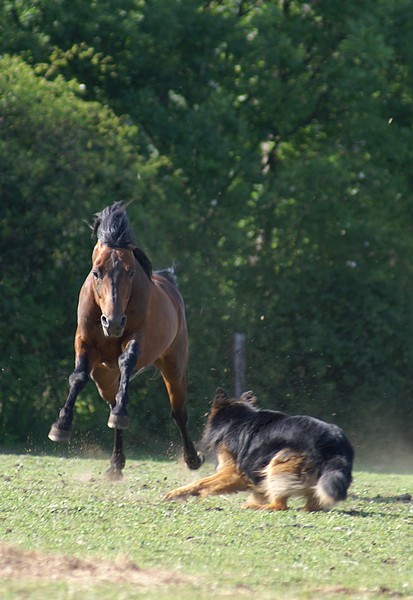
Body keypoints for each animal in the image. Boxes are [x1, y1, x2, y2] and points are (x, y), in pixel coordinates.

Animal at [48, 202, 201, 478]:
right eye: (96, 272)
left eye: (130, 272)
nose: (114, 323)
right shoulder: (84, 343)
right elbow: (78, 377)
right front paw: (61, 426)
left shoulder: (135, 339)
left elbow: (127, 363)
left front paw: (121, 413)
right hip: (103, 377)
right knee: (112, 399)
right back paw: (116, 464)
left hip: (173, 364)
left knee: (178, 411)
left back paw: (192, 458)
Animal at [166, 390, 352, 510]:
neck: (236, 419)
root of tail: (334, 442)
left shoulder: (233, 472)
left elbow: (201, 482)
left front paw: (182, 493)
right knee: (312, 505)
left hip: (279, 462)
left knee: (280, 506)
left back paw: (253, 506)